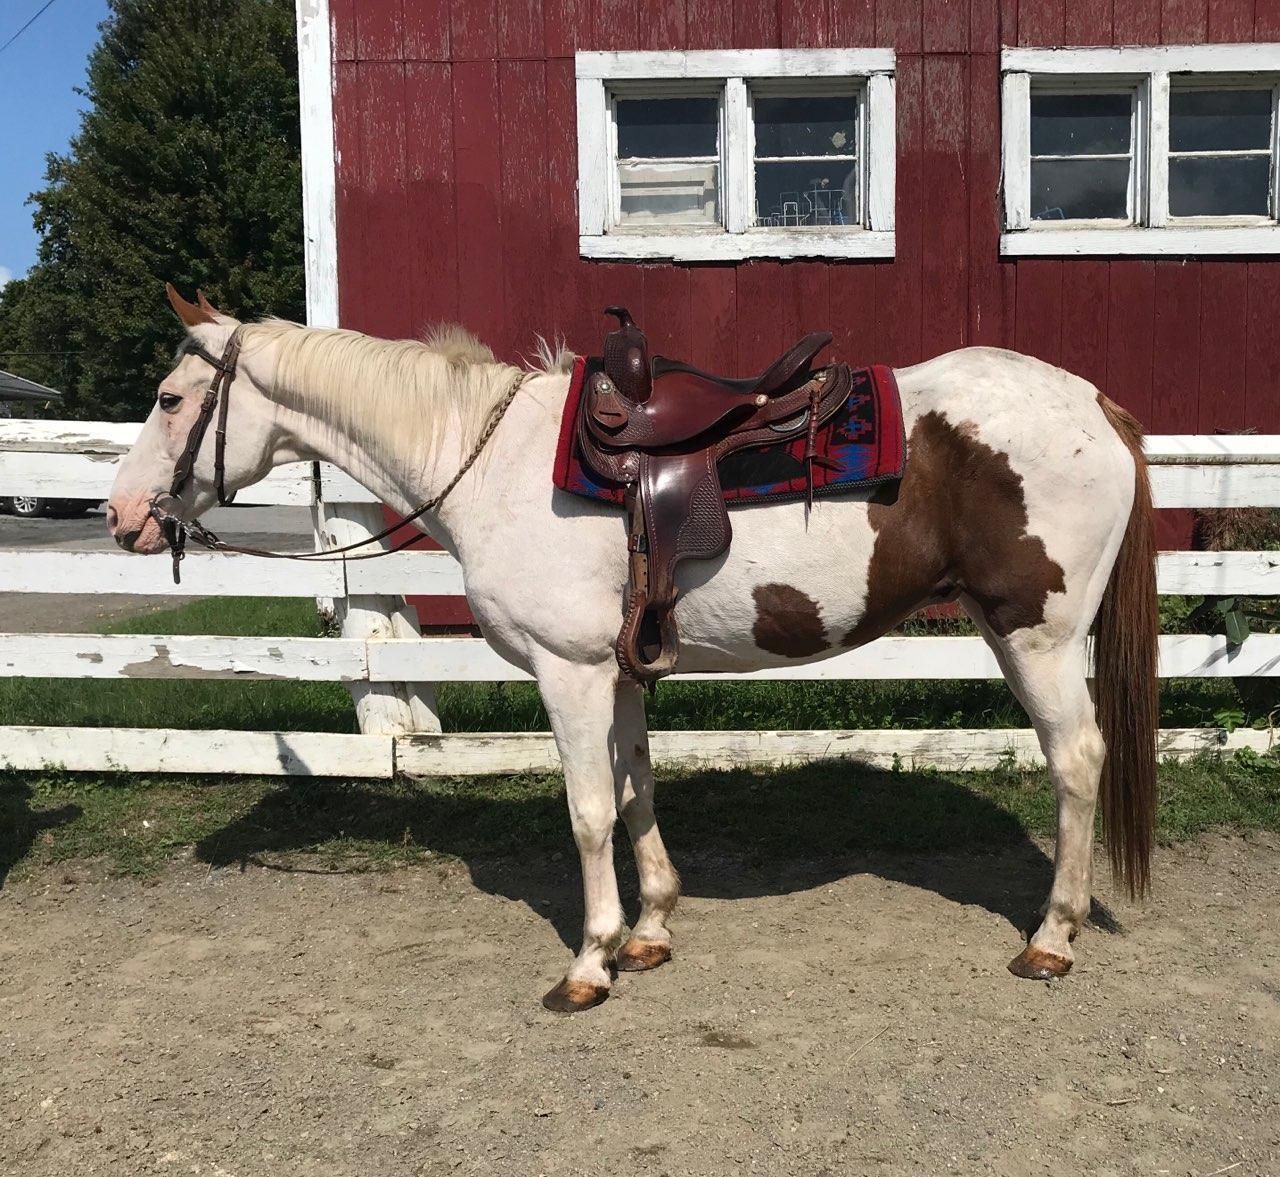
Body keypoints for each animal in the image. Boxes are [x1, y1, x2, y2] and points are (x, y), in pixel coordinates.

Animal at [107, 286, 1158, 1013]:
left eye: (169, 398)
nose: (122, 517)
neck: (489, 459)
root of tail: (1097, 403)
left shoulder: (567, 671)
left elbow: (583, 813)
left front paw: (590, 961)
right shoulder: (617, 670)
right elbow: (634, 789)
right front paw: (649, 928)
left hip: (1038, 635)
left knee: (1077, 761)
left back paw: (1052, 937)